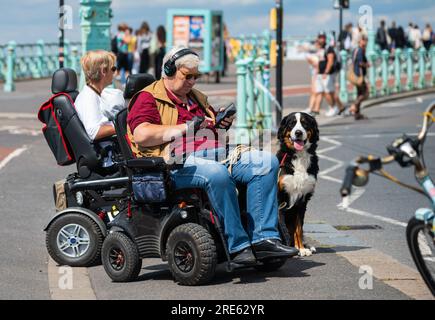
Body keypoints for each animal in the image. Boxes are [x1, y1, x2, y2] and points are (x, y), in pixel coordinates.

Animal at [280, 112, 320, 258]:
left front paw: (301, 249)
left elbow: (299, 228)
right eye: (292, 123)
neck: (299, 157)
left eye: (304, 123)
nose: (298, 132)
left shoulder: (302, 201)